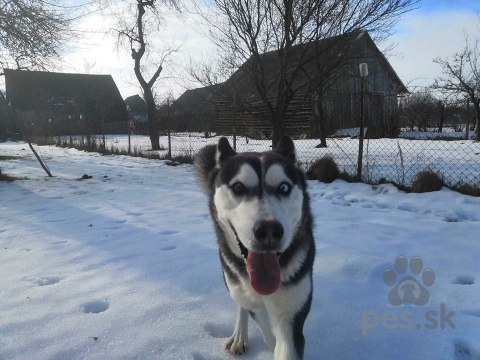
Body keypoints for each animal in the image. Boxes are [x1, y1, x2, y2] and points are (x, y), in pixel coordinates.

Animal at [195, 136, 316, 360]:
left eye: (284, 187)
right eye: (238, 187)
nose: (269, 230)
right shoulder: (252, 302)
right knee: (242, 304)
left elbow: (284, 343)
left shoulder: (291, 314)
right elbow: (261, 322)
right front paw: (266, 339)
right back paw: (239, 336)